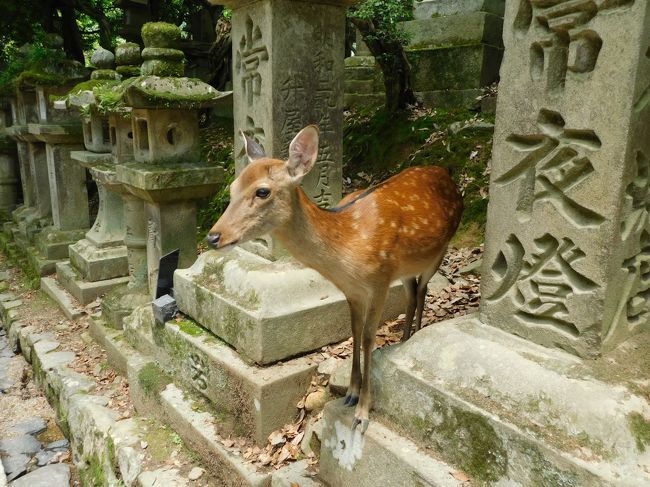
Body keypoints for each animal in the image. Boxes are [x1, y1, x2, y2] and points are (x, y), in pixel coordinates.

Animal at [208, 127, 460, 434]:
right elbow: (354, 331)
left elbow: (368, 337)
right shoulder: (351, 289)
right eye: (232, 188)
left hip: (439, 251)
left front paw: (362, 412)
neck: (347, 249)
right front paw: (350, 394)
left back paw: (415, 334)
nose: (213, 236)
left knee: (422, 291)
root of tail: (446, 172)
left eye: (262, 191)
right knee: (412, 293)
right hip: (407, 268)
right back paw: (403, 338)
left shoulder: (380, 279)